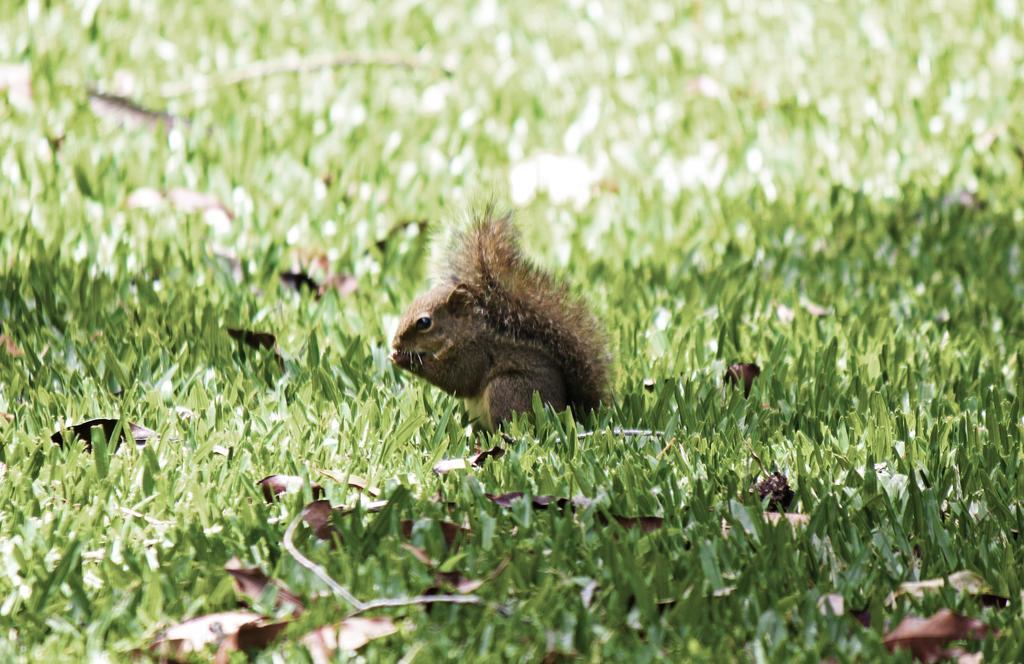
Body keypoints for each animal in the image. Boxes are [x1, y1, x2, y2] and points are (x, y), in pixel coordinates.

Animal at [385, 206, 606, 430]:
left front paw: (405, 360)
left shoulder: (476, 354)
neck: (462, 333)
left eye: (424, 322)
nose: (395, 342)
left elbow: (457, 379)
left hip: (506, 388)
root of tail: (566, 410)